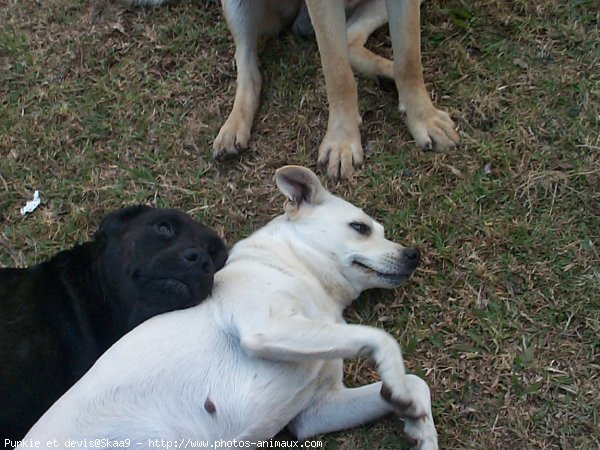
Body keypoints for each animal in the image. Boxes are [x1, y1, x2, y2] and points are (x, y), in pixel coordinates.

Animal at [24, 166, 436, 450]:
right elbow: (382, 339)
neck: (299, 274)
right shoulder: (267, 328)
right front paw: (398, 383)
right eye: (360, 228)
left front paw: (419, 426)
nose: (413, 255)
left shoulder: (318, 410)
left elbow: (418, 383)